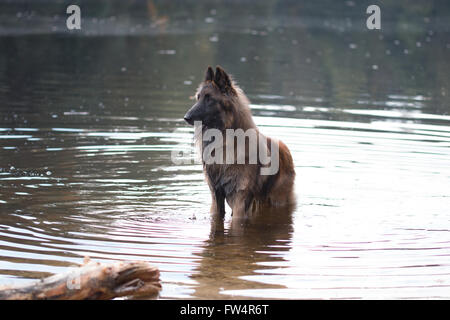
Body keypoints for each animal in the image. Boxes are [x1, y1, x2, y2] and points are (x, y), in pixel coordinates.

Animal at [184, 66, 296, 219]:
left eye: (209, 98)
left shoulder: (239, 198)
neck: (223, 141)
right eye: (198, 97)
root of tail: (285, 148)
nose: (186, 117)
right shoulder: (216, 195)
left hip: (276, 198)